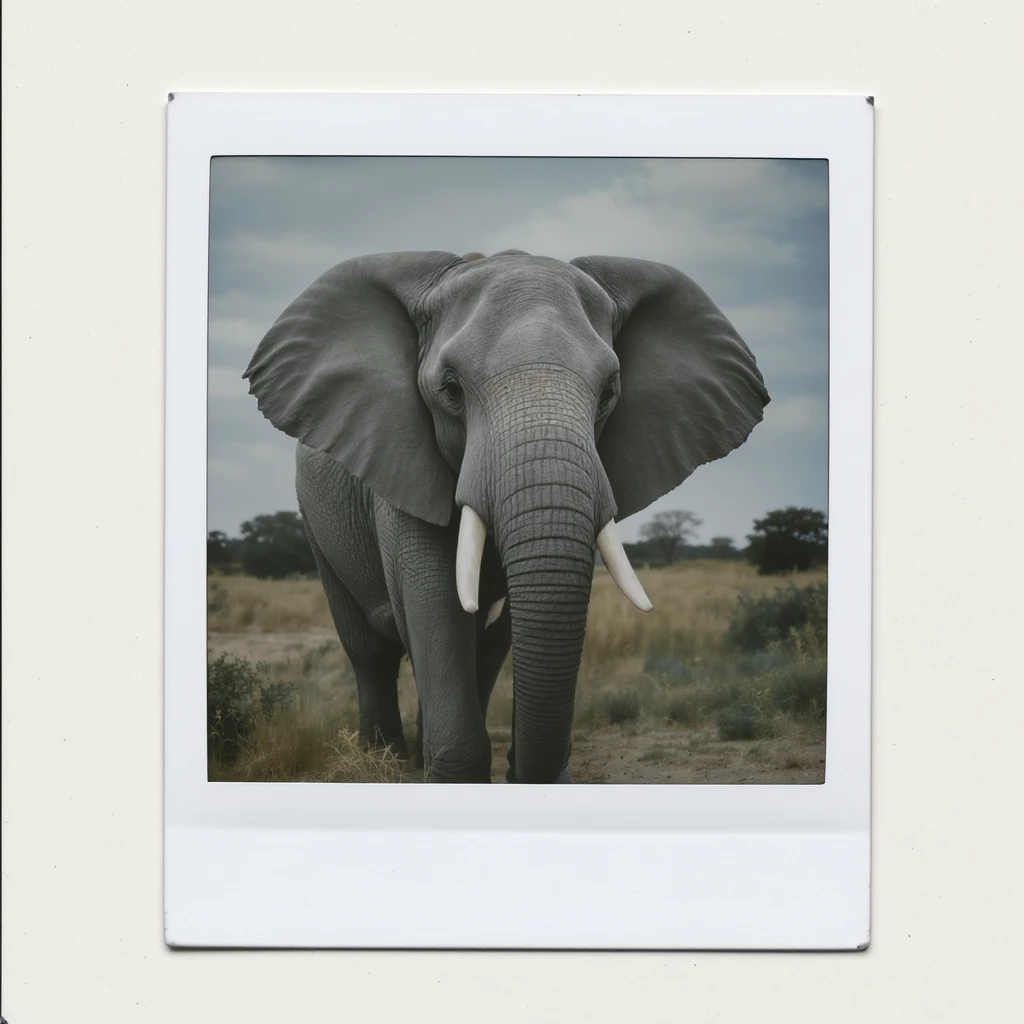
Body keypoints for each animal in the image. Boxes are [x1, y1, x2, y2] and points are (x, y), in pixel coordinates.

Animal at [244, 249, 769, 783]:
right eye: (451, 390)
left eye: (608, 393)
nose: (522, 770)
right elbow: (432, 597)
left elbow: (500, 626)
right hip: (314, 520)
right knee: (370, 651)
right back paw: (383, 761)